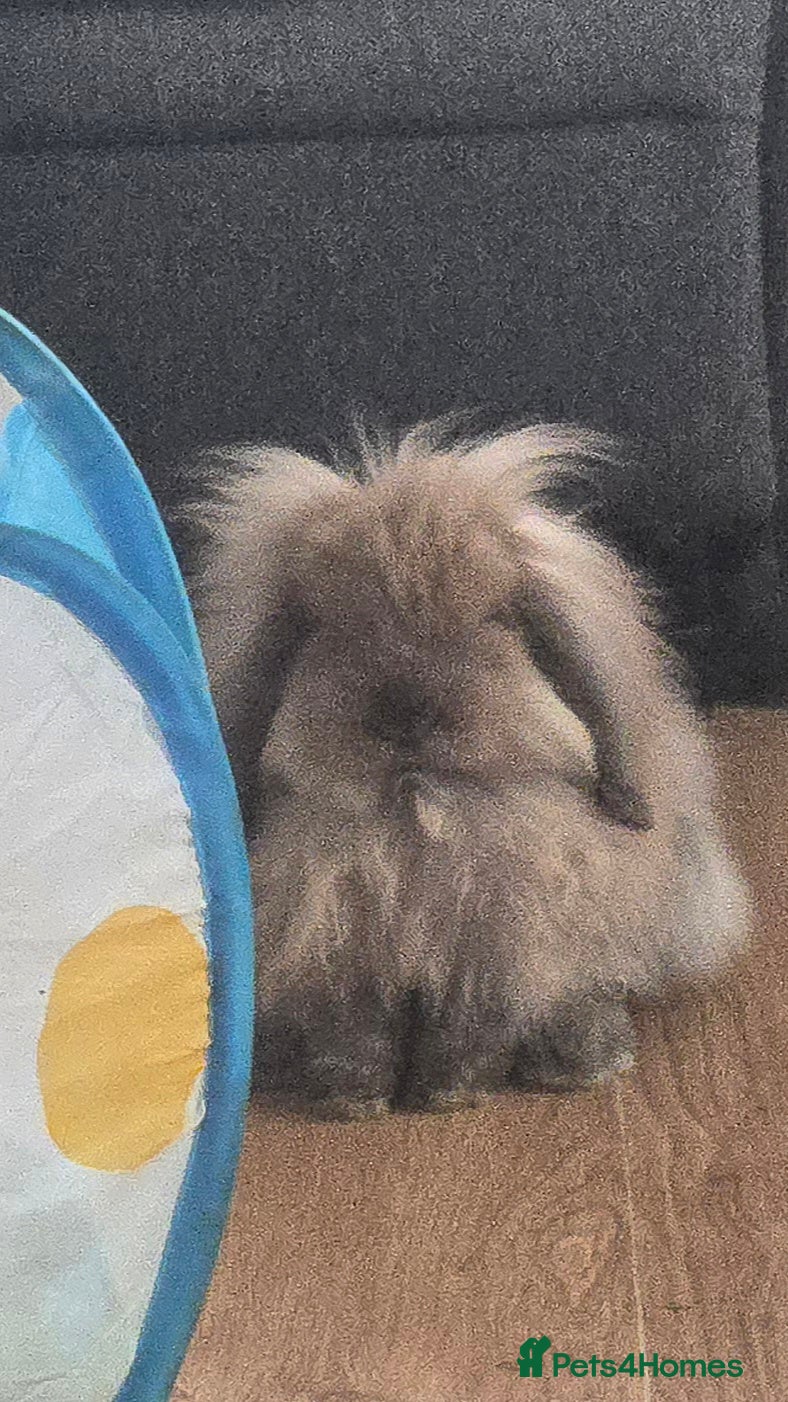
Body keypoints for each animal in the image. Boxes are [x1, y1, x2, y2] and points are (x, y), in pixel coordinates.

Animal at [186, 420, 749, 1119]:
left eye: (496, 619)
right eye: (318, 626)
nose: (406, 714)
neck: (416, 809)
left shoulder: (498, 943)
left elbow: (470, 1027)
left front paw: (449, 1095)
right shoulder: (335, 949)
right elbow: (354, 1029)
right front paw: (352, 1100)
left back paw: (582, 1063)